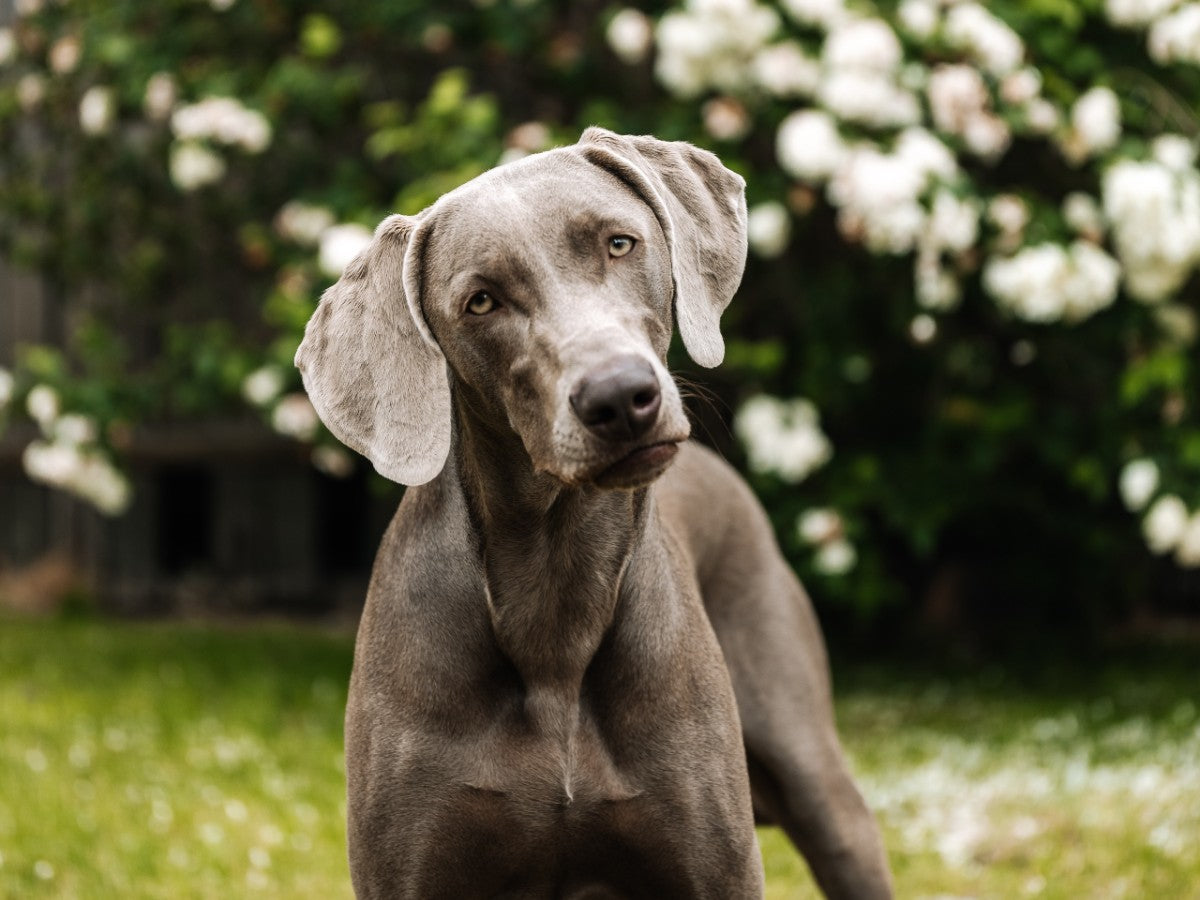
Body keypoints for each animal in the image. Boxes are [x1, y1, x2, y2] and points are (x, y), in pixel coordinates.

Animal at [292, 128, 892, 900]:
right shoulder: (407, 869)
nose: (619, 396)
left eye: (619, 243)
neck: (559, 597)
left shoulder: (717, 868)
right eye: (480, 301)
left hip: (814, 773)